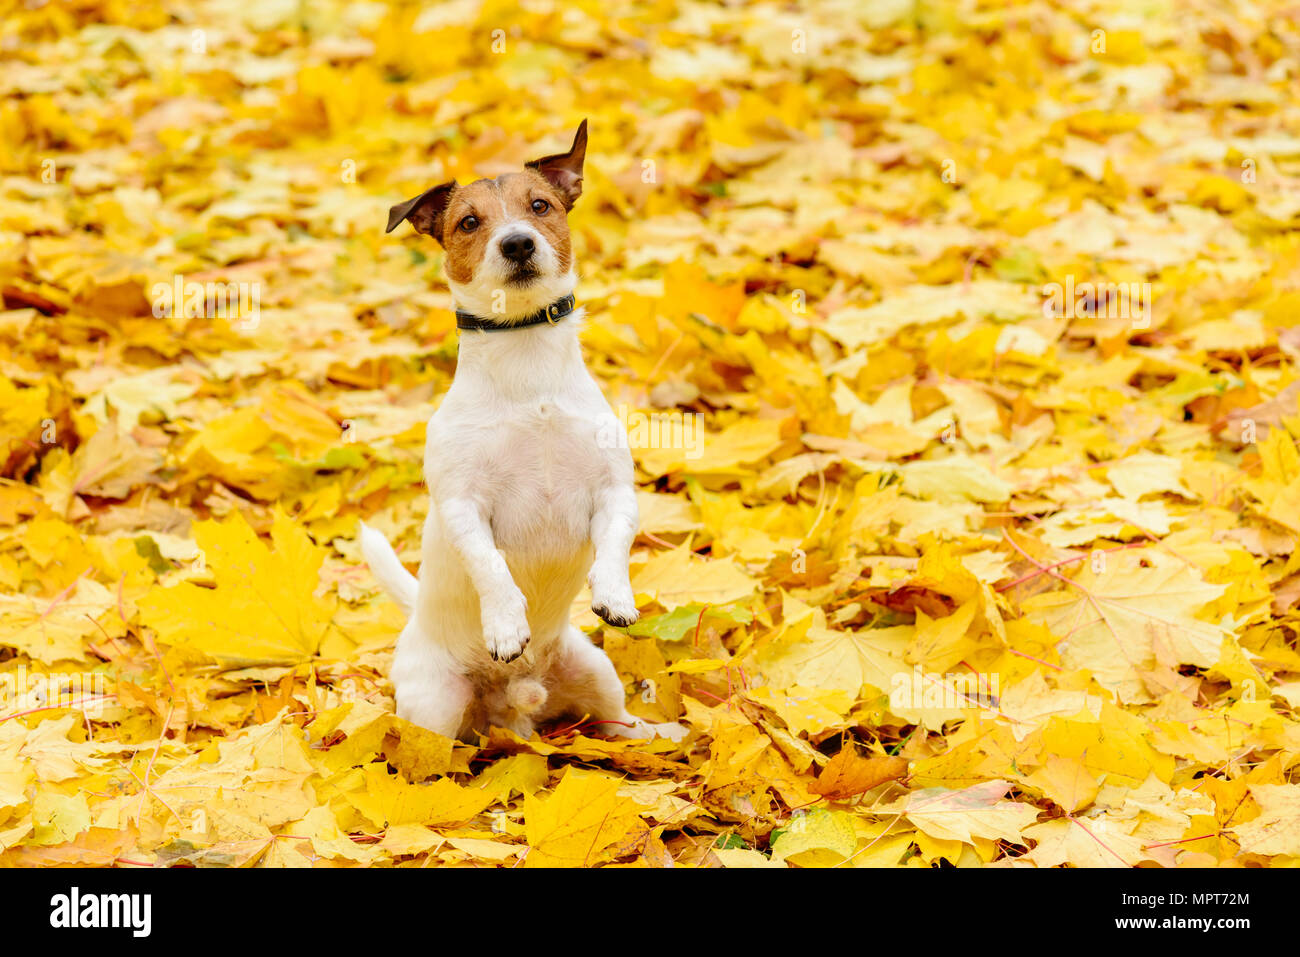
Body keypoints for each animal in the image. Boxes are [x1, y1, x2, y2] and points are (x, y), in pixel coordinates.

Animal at [356, 119, 681, 743]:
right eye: (469, 222)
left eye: (540, 206)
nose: (517, 243)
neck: (527, 359)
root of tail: (514, 708)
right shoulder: (463, 505)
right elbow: (491, 564)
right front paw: (506, 624)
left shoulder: (614, 492)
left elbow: (616, 542)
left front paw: (614, 595)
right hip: (436, 704)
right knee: (432, 750)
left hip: (595, 670)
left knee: (617, 725)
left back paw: (659, 738)